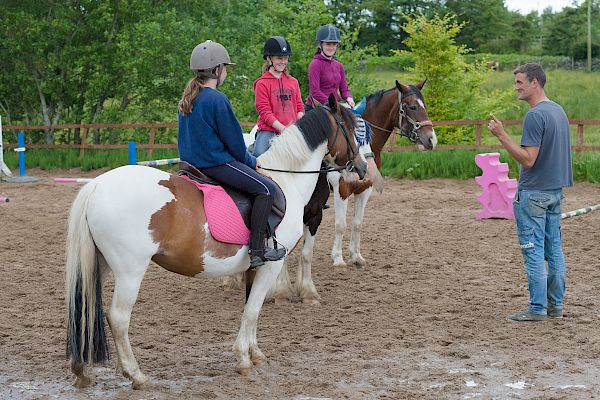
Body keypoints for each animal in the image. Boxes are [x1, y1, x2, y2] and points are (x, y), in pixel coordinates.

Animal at [64, 95, 366, 390]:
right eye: (352, 130)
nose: (362, 168)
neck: (286, 179)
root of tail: (96, 186)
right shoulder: (271, 264)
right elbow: (253, 309)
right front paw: (243, 359)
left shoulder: (254, 267)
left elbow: (251, 309)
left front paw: (255, 353)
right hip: (130, 271)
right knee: (118, 317)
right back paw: (136, 375)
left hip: (100, 264)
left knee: (83, 308)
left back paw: (81, 371)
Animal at [270, 79, 438, 304]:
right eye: (412, 107)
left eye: (424, 105)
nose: (431, 140)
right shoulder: (342, 191)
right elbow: (340, 225)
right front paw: (338, 258)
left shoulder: (365, 190)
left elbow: (357, 223)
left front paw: (356, 256)